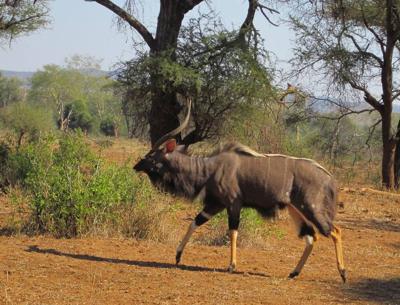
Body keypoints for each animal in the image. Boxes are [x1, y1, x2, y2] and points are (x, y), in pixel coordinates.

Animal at [133, 98, 346, 282]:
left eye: (152, 156)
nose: (136, 166)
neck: (210, 168)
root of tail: (329, 179)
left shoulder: (233, 203)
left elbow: (233, 231)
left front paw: (231, 265)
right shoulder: (215, 205)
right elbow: (195, 223)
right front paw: (177, 256)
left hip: (311, 208)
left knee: (335, 231)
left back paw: (343, 274)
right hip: (296, 211)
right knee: (311, 237)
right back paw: (293, 273)